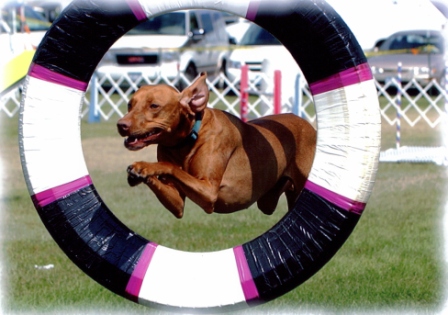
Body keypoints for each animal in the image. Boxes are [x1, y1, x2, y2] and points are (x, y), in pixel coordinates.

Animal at [117, 73, 316, 218]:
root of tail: (308, 125)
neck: (186, 140)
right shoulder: (177, 204)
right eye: (129, 104)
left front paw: (144, 166)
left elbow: (170, 166)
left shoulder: (208, 191)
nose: (121, 125)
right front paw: (140, 174)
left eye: (154, 106)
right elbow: (176, 197)